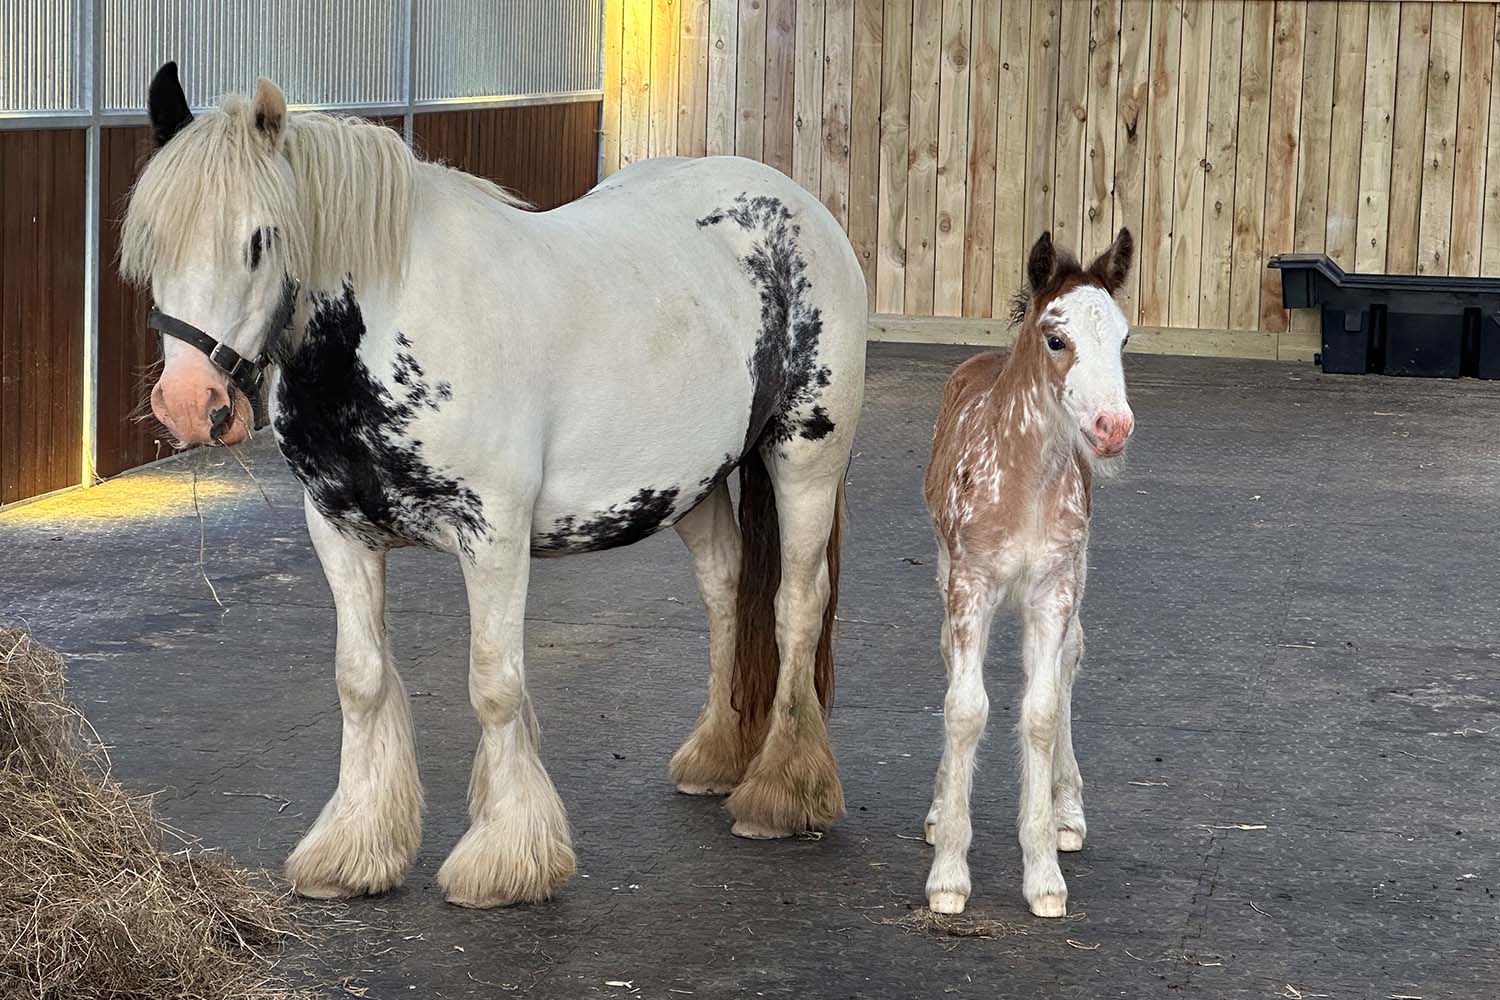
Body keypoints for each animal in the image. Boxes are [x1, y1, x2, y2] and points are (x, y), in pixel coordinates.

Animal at [127, 64, 870, 905]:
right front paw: (351, 852)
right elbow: (360, 679)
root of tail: (798, 205)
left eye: (260, 239)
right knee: (726, 592)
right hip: (698, 485)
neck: (390, 330)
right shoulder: (339, 530)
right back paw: (716, 757)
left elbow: (494, 683)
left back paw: (781, 792)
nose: (190, 404)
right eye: (152, 241)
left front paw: (506, 860)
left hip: (805, 459)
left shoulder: (494, 536)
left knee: (794, 608)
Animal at [918, 230, 1128, 917]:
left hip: (1079, 574)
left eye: (1124, 339)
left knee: (1069, 664)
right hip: (944, 566)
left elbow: (1039, 712)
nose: (1112, 428)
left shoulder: (1052, 591)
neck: (1023, 486)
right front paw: (948, 873)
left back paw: (1067, 812)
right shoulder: (970, 585)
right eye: (1057, 339)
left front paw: (1043, 875)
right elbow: (964, 708)